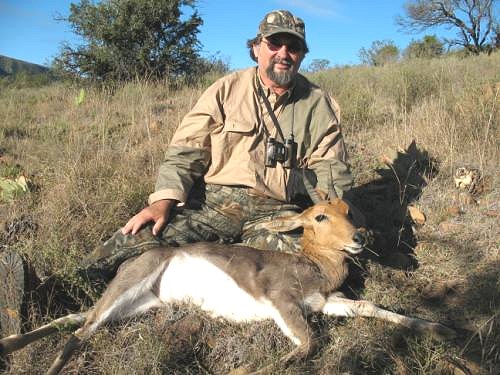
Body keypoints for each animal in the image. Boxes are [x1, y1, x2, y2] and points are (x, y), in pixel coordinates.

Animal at [0, 187, 456, 374]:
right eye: (320, 216)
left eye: (349, 211)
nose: (360, 237)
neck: (313, 267)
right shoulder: (282, 301)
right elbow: (308, 343)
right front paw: (259, 366)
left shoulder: (327, 302)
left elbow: (370, 306)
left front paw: (442, 326)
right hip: (127, 289)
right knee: (80, 332)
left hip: (135, 307)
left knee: (74, 319)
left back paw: (9, 344)